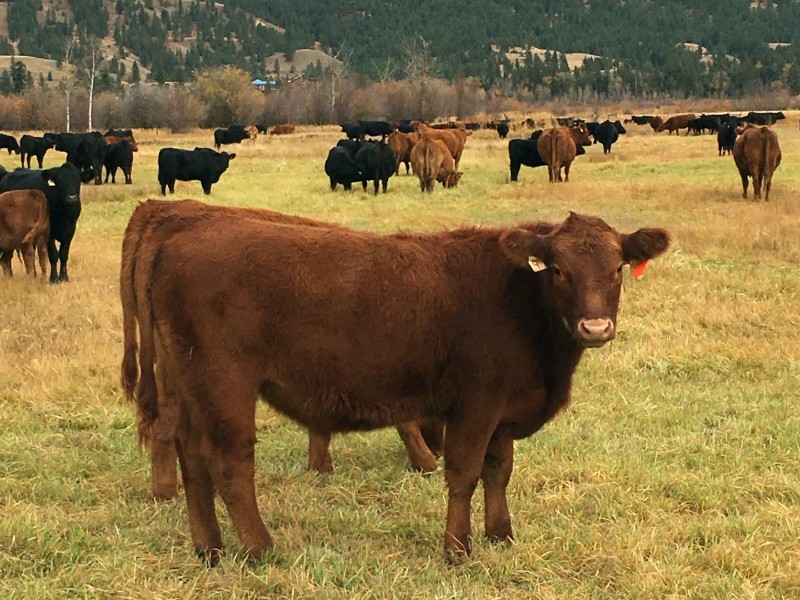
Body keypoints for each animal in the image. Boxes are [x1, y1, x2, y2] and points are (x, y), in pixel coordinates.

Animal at [120, 199, 443, 498]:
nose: (438, 448)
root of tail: (157, 209)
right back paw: (168, 493)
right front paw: (425, 463)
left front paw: (320, 466)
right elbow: (405, 421)